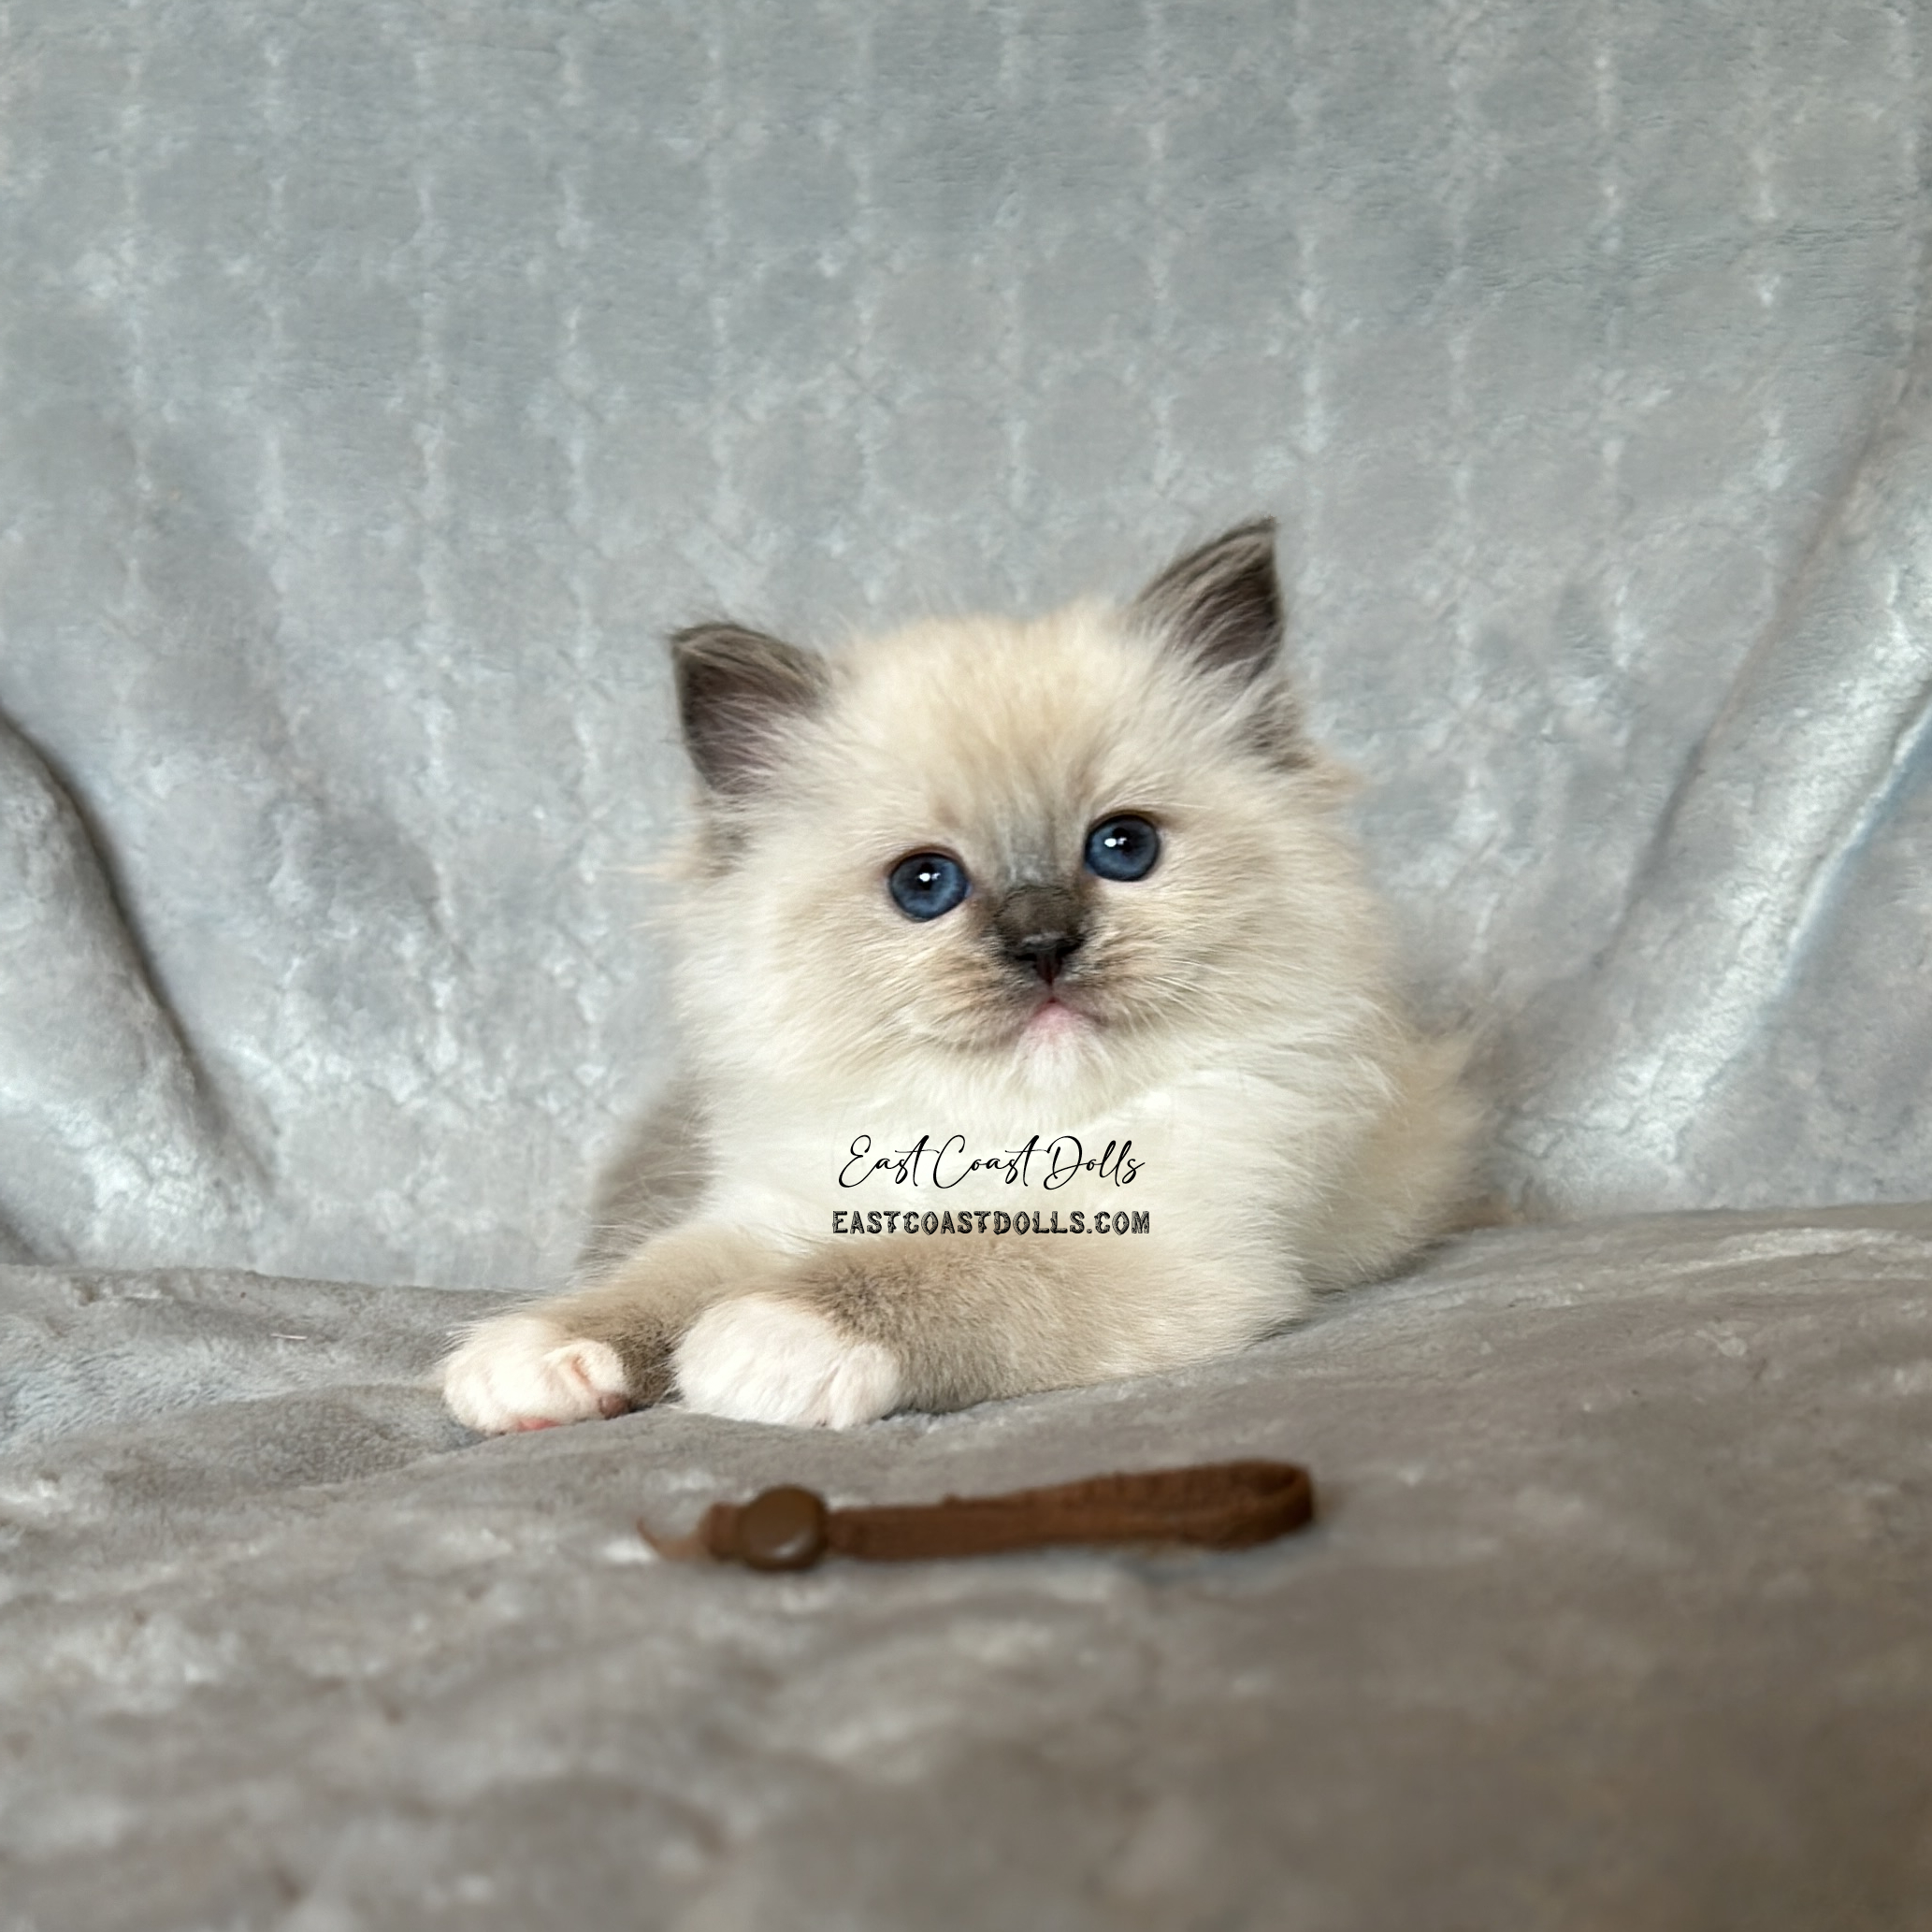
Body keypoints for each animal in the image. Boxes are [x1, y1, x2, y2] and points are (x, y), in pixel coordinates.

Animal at [444, 529, 1476, 1437]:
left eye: (1123, 847)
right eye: (924, 885)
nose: (1044, 942)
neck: (993, 1127)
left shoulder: (1152, 1243)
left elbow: (945, 1266)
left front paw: (767, 1335)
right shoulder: (768, 1211)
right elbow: (654, 1281)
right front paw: (535, 1357)